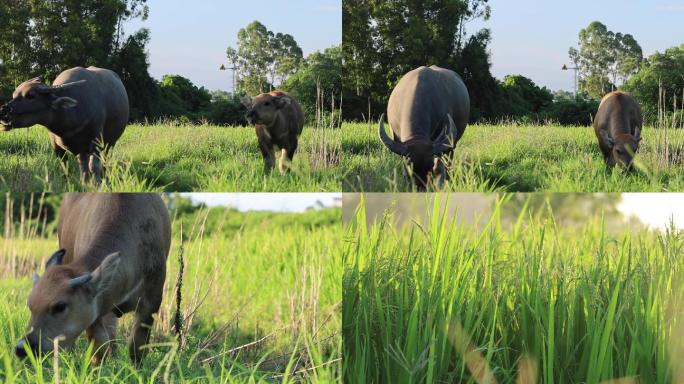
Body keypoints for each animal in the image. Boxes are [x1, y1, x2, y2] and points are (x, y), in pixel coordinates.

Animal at [0, 66, 130, 184]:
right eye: (14, 95)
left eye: (30, 96)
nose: (3, 112)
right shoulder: (57, 145)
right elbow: (65, 165)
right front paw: (76, 182)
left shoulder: (96, 140)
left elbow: (93, 165)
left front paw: (96, 183)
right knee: (83, 161)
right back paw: (85, 180)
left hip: (110, 142)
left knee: (105, 157)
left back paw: (103, 173)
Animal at [15, 194, 171, 364]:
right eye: (30, 306)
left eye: (60, 306)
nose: (22, 348)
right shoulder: (96, 310)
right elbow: (99, 345)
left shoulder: (151, 303)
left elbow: (137, 346)